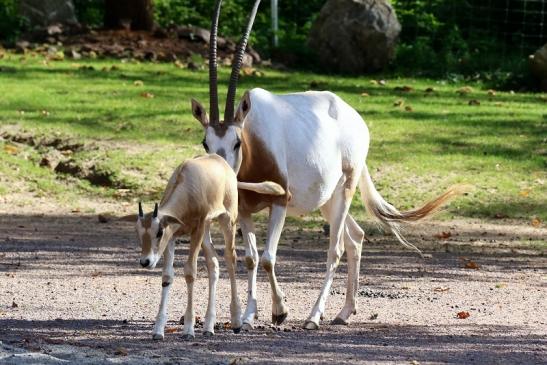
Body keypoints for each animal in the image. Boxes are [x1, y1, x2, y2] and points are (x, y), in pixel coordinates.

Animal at [127, 154, 284, 338]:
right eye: (138, 233)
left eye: (158, 232)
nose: (146, 261)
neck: (187, 186)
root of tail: (225, 166)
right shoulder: (172, 237)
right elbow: (167, 276)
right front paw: (158, 330)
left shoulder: (197, 229)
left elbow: (190, 272)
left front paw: (188, 329)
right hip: (207, 230)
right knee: (213, 263)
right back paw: (209, 326)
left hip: (227, 221)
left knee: (230, 259)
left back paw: (236, 321)